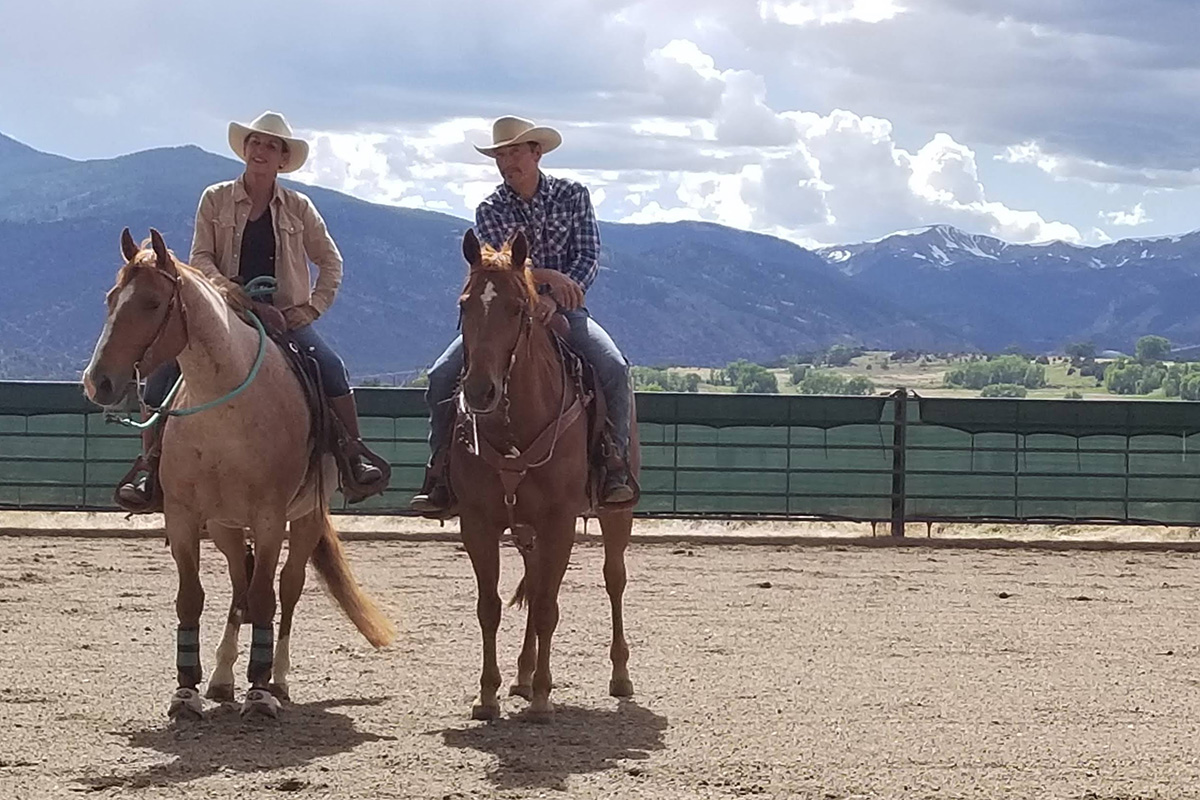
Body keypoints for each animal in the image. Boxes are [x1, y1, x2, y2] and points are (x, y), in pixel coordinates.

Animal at [84, 226, 393, 719]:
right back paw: (223, 678)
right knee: (239, 586)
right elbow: (193, 598)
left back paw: (277, 680)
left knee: (287, 588)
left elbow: (267, 597)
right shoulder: (185, 517)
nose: (99, 382)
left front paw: (261, 692)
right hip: (226, 526)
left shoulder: (270, 519)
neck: (224, 409)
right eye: (112, 299)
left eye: (151, 302)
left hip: (305, 519)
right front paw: (186, 691)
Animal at [451, 227, 638, 724]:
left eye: (518, 308)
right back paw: (521, 674)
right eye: (464, 305)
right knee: (533, 589)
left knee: (613, 579)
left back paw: (619, 676)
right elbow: (490, 607)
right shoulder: (478, 522)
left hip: (617, 515)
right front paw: (489, 694)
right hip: (526, 530)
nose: (480, 391)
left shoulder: (559, 521)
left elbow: (550, 608)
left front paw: (542, 696)